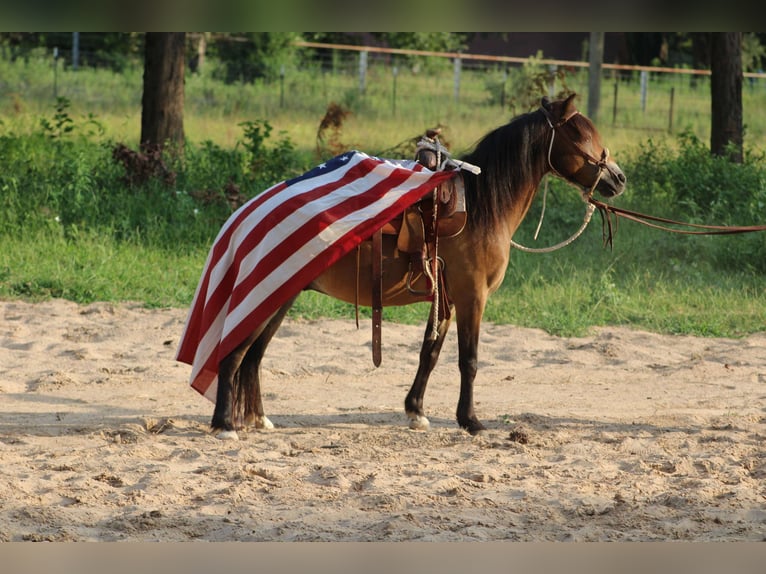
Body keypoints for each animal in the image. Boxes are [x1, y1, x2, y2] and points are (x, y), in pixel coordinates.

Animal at [210, 93, 626, 439]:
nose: (618, 178)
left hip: (281, 297)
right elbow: (469, 359)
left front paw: (416, 411)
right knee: (235, 355)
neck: (483, 205)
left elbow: (431, 351)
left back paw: (258, 419)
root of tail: (249, 213)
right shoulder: (472, 295)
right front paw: (471, 421)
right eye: (581, 136)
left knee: (253, 358)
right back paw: (225, 425)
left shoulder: (448, 298)